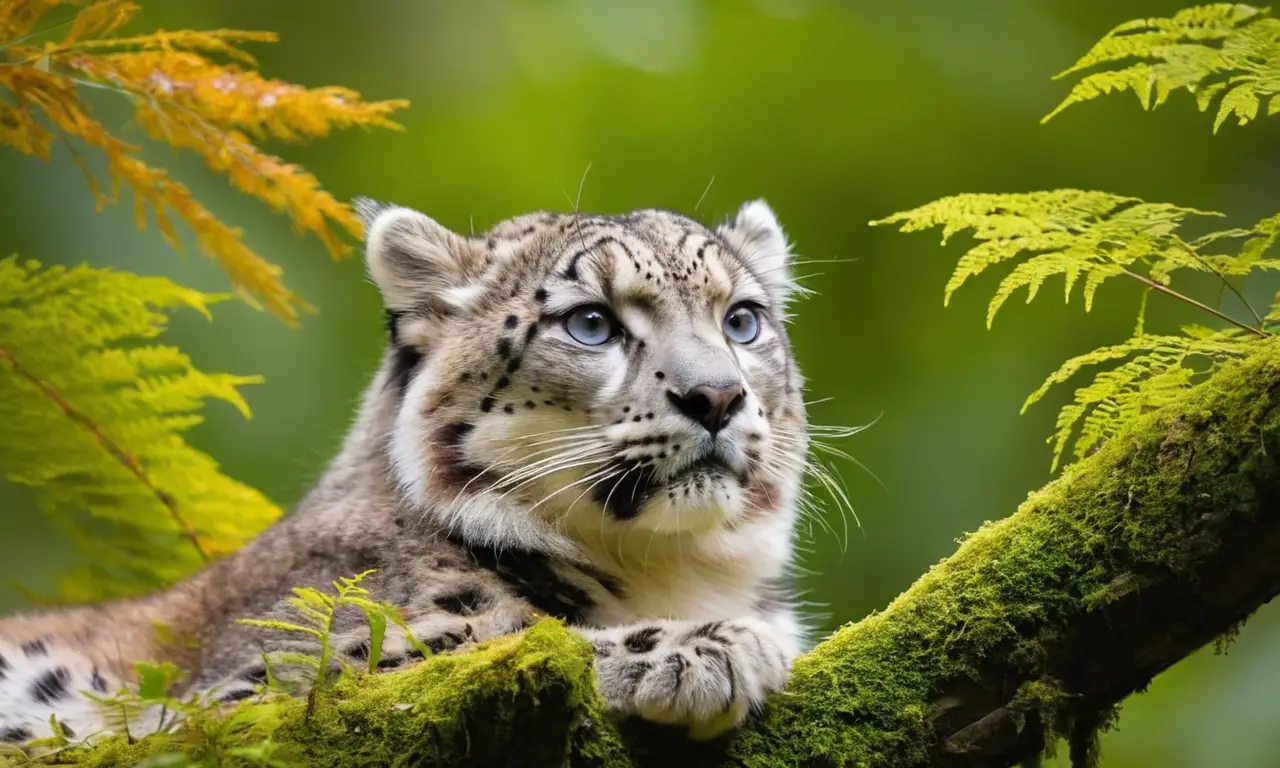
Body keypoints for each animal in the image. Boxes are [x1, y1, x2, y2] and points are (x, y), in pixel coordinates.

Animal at [0, 197, 815, 746]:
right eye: (591, 322)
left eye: (742, 320)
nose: (717, 395)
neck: (672, 570)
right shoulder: (258, 690)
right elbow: (485, 646)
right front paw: (709, 646)